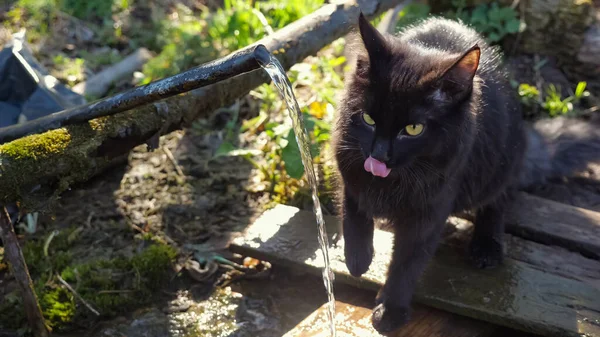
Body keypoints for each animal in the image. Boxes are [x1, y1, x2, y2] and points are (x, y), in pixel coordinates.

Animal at [330, 11, 600, 332]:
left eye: (413, 129)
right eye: (368, 119)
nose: (379, 154)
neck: (395, 180)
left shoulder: (430, 210)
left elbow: (407, 262)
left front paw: (391, 309)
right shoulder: (350, 172)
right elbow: (353, 216)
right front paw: (357, 259)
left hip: (499, 166)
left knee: (499, 201)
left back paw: (486, 246)